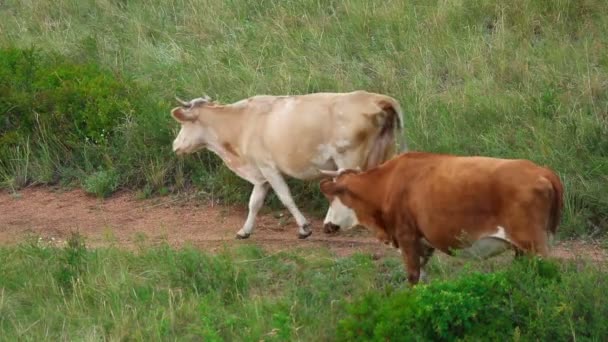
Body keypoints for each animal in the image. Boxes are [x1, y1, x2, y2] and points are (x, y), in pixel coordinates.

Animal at [171, 91, 406, 240]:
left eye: (183, 123)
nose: (175, 145)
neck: (242, 122)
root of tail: (377, 99)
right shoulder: (261, 175)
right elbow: (254, 202)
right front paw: (244, 231)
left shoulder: (269, 168)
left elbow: (285, 197)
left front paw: (304, 228)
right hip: (384, 153)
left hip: (348, 160)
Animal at [320, 152, 564, 286]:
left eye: (332, 198)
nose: (326, 226)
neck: (387, 184)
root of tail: (542, 171)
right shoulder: (424, 244)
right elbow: (423, 278)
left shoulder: (407, 236)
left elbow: (413, 277)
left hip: (534, 244)